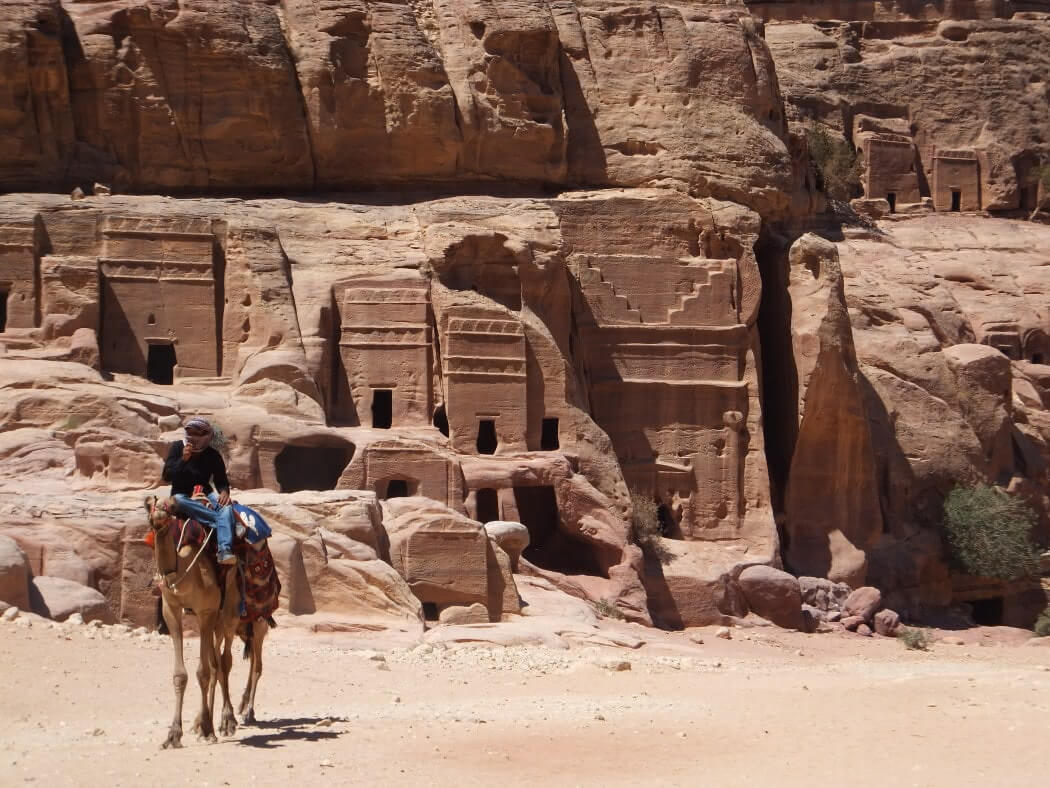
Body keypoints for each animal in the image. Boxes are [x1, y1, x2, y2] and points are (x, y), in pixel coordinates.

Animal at [144, 495, 240, 748]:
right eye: (149, 506)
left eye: (168, 508)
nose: (157, 518)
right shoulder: (171, 609)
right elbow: (181, 675)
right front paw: (173, 734)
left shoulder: (206, 610)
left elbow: (203, 672)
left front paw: (208, 729)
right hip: (212, 619)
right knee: (216, 662)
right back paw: (203, 722)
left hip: (228, 611)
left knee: (224, 661)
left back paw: (226, 722)